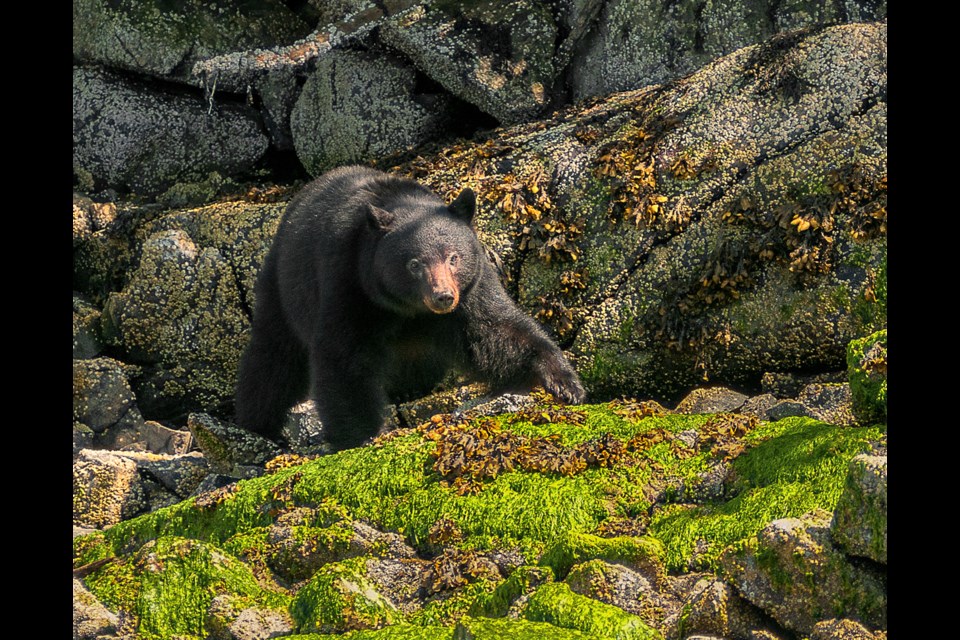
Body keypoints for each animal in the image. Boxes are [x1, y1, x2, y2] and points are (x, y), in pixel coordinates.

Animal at [238, 165, 584, 450]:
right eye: (415, 264)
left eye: (453, 257)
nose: (443, 296)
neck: (407, 308)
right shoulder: (349, 280)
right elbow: (344, 353)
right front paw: (360, 434)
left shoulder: (472, 285)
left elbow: (493, 329)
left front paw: (563, 381)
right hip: (282, 286)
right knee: (274, 356)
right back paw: (257, 421)